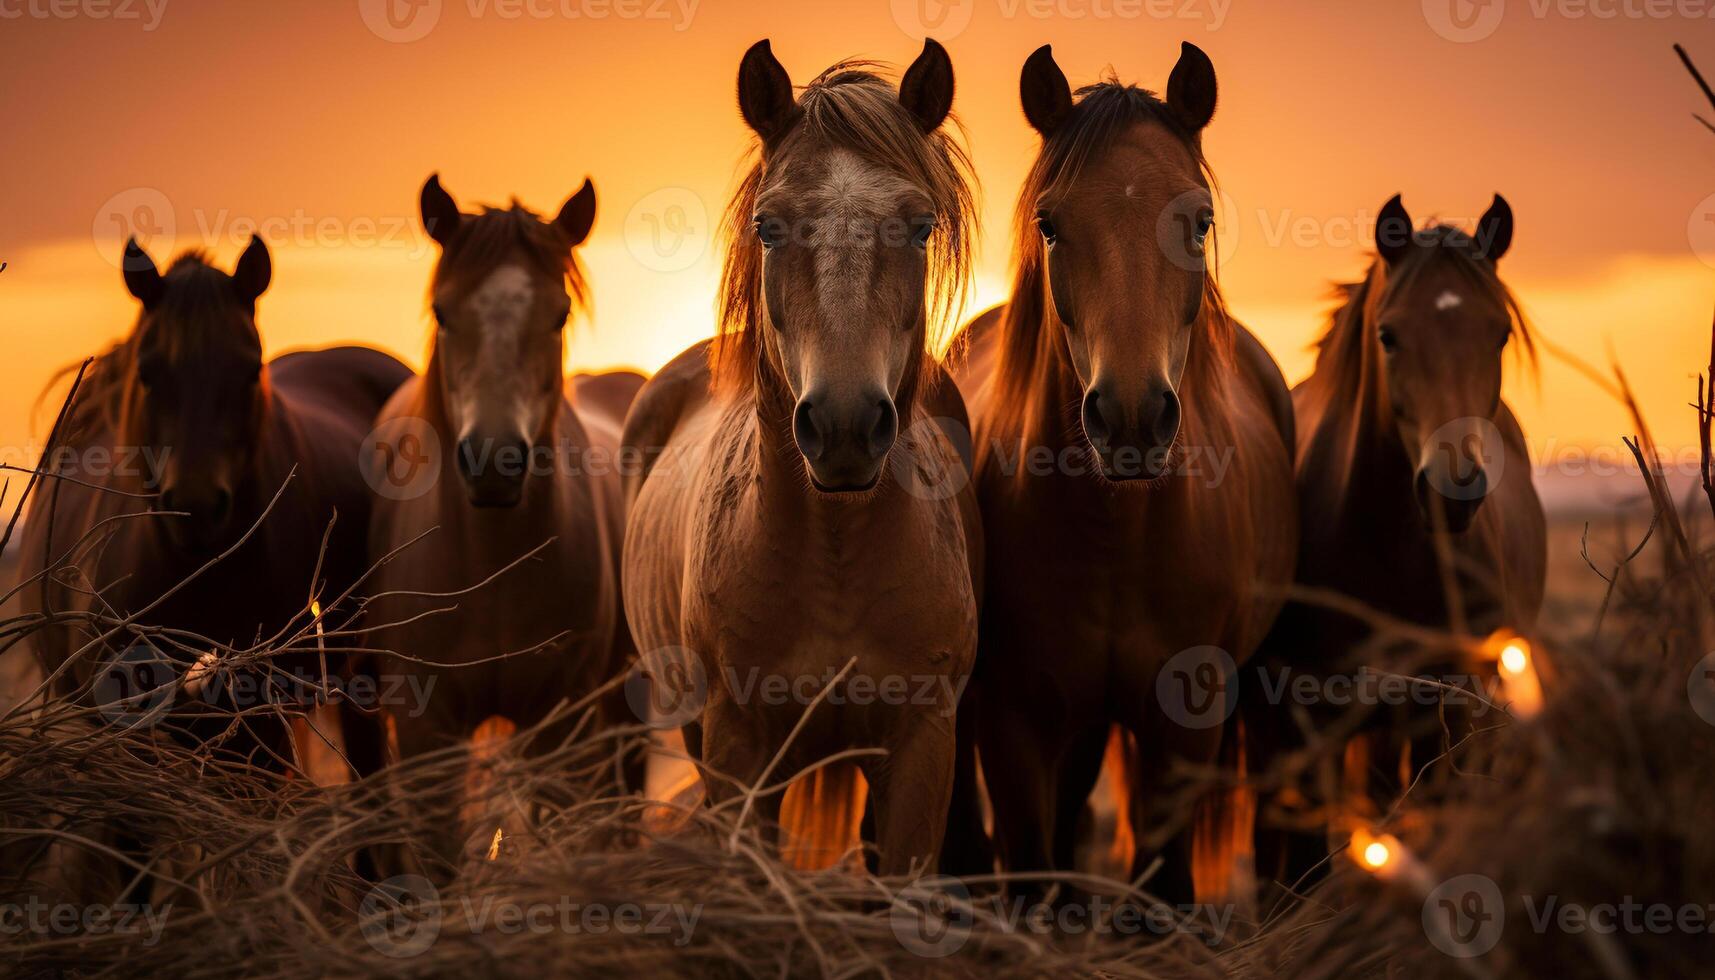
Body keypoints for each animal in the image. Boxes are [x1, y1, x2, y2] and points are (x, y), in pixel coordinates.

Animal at [361, 174, 637, 875]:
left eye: (559, 315)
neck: (491, 569)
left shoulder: (564, 723)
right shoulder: (428, 730)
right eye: (442, 312)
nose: (493, 463)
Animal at [624, 42, 987, 878]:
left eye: (919, 226)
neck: (836, 557)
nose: (845, 425)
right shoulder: (735, 748)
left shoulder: (923, 747)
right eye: (768, 225)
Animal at [946, 45, 1289, 906]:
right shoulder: (1015, 723)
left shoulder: (1184, 725)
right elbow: (1028, 866)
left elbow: (1162, 891)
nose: (1131, 417)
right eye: (1049, 223)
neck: (1115, 533)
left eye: (1198, 221)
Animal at [1255, 197, 1550, 892]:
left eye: (1498, 334)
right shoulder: (1310, 710)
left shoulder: (1446, 707)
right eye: (1388, 336)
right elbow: (1306, 859)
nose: (1452, 491)